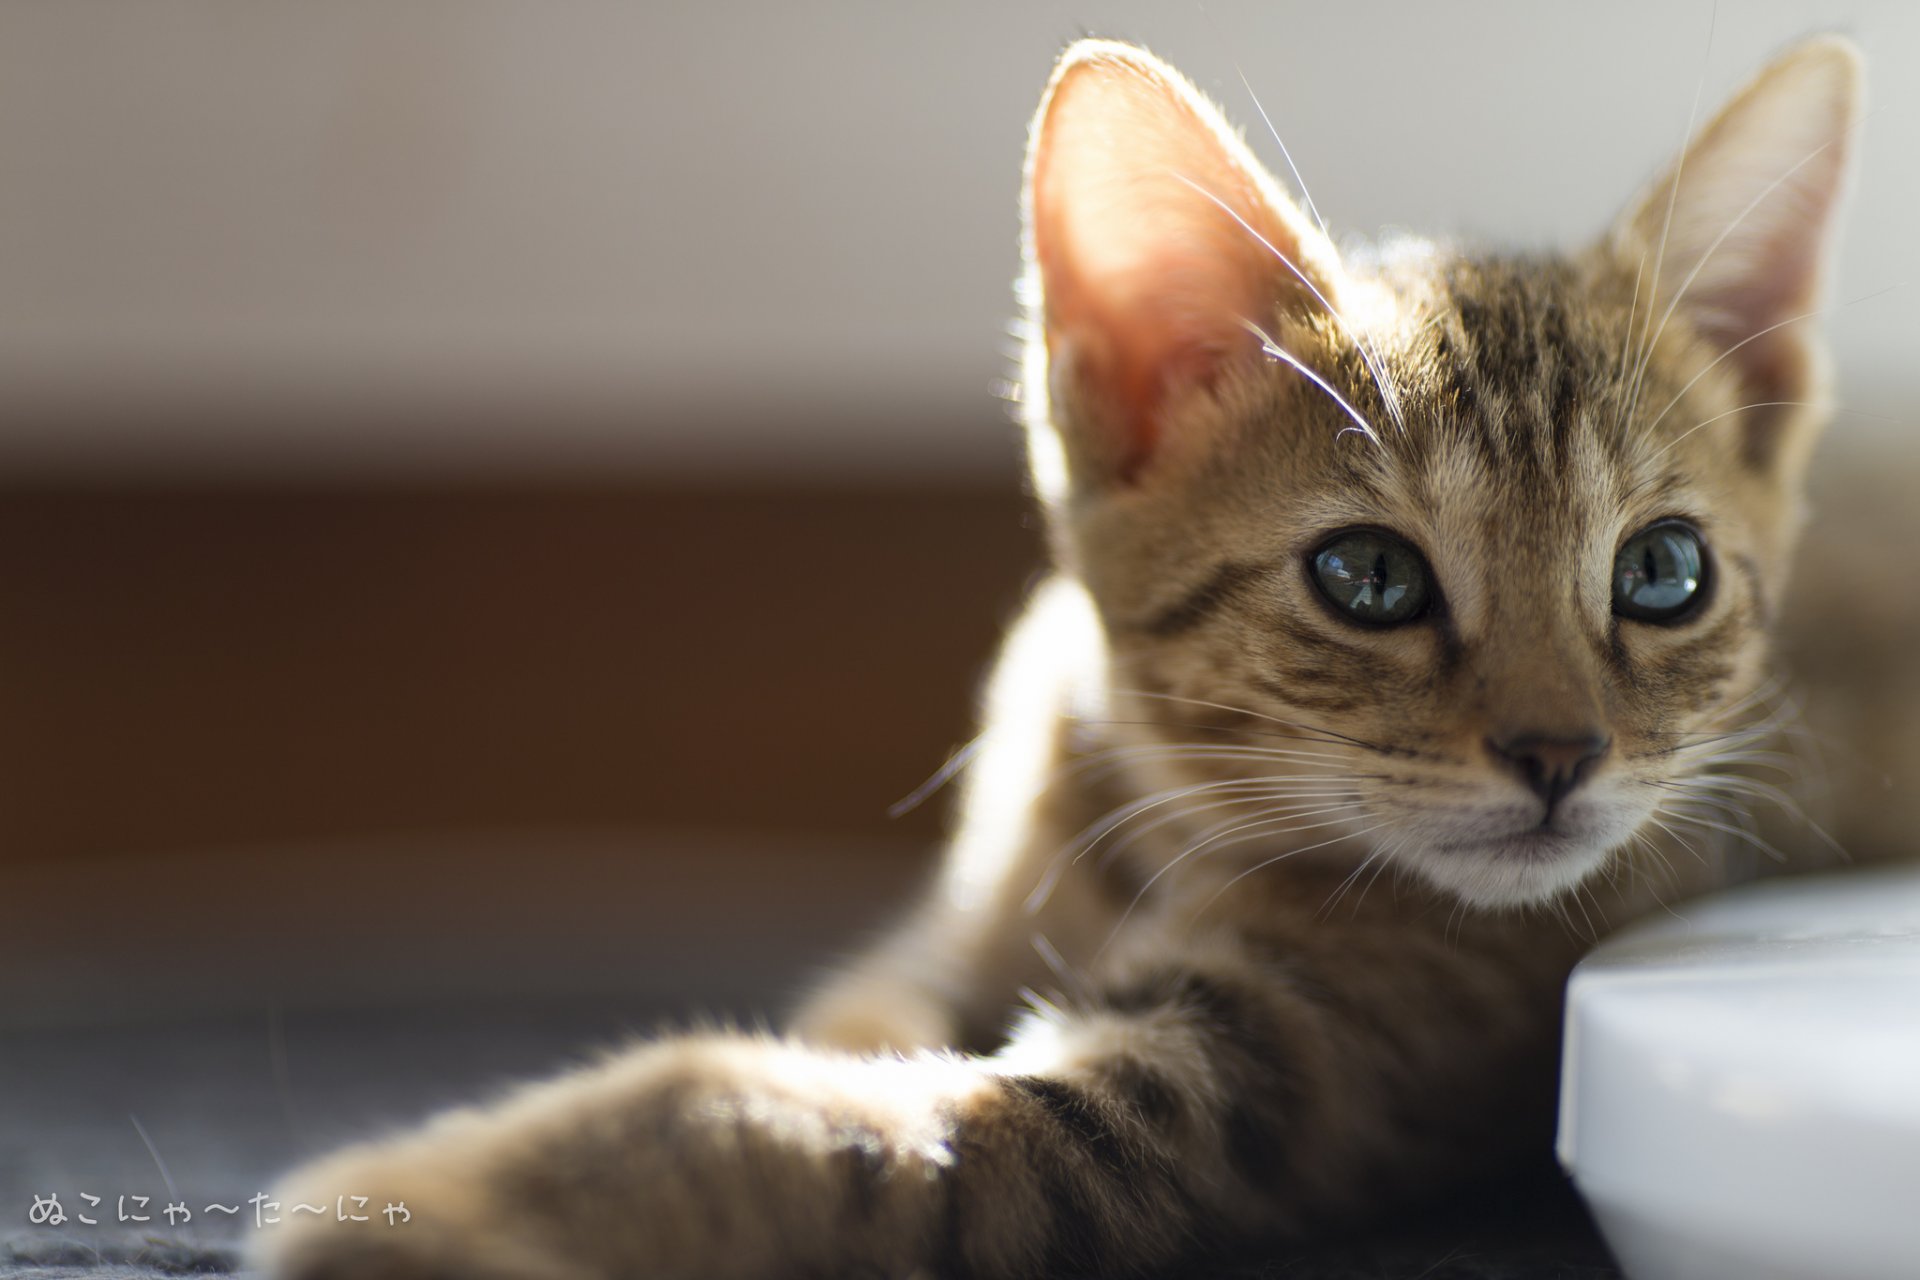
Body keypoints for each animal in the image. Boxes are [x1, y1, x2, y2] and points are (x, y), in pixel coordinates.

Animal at [259, 29, 1858, 1280]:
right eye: (1369, 577)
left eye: (1661, 573)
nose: (1560, 756)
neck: (1153, 829)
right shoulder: (946, 932)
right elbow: (856, 1030)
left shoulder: (1282, 1069)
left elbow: (900, 1141)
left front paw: (456, 1196)